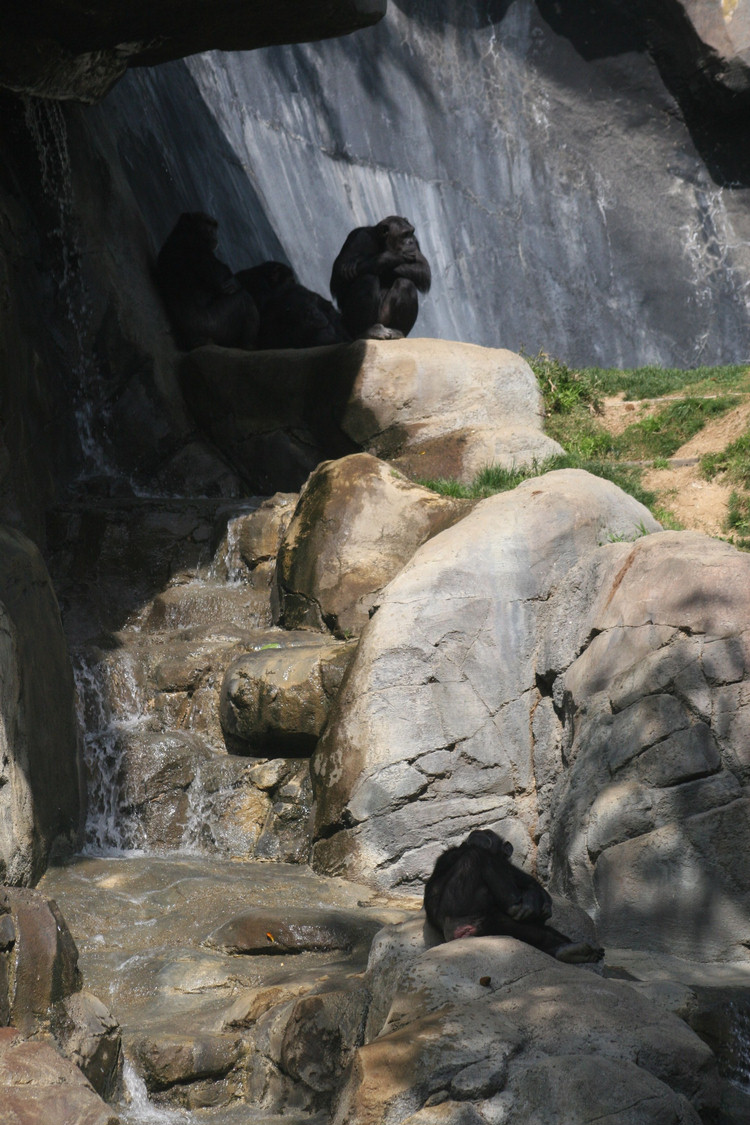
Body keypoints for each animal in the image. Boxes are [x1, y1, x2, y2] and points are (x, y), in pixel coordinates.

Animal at [155, 211, 258, 351]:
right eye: (208, 224)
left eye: (215, 226)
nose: (214, 233)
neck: (183, 233)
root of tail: (193, 342)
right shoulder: (200, 252)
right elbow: (223, 279)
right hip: (213, 326)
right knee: (243, 299)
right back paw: (247, 346)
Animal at [427, 828, 602, 967]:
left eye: (487, 833)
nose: (477, 834)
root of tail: (452, 934)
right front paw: (533, 899)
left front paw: (537, 899)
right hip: (460, 907)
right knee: (477, 857)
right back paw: (515, 904)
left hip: (485, 924)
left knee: (519, 927)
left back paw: (570, 950)